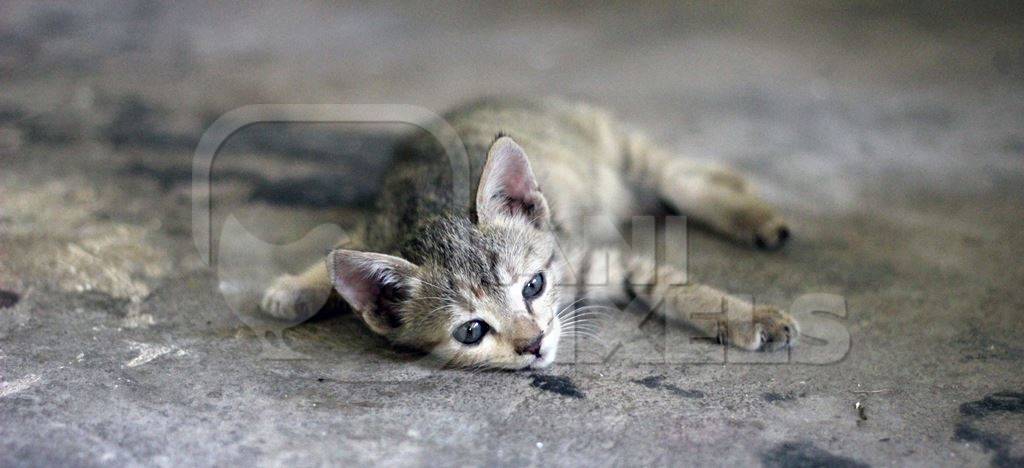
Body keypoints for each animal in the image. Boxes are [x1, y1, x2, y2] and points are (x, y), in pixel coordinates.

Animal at [260, 96, 794, 368]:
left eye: (534, 286)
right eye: (472, 330)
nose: (534, 343)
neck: (427, 213)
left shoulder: (591, 256)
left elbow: (675, 285)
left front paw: (750, 317)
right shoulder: (376, 223)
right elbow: (336, 250)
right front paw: (298, 288)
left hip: (613, 141)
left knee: (675, 175)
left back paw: (750, 212)